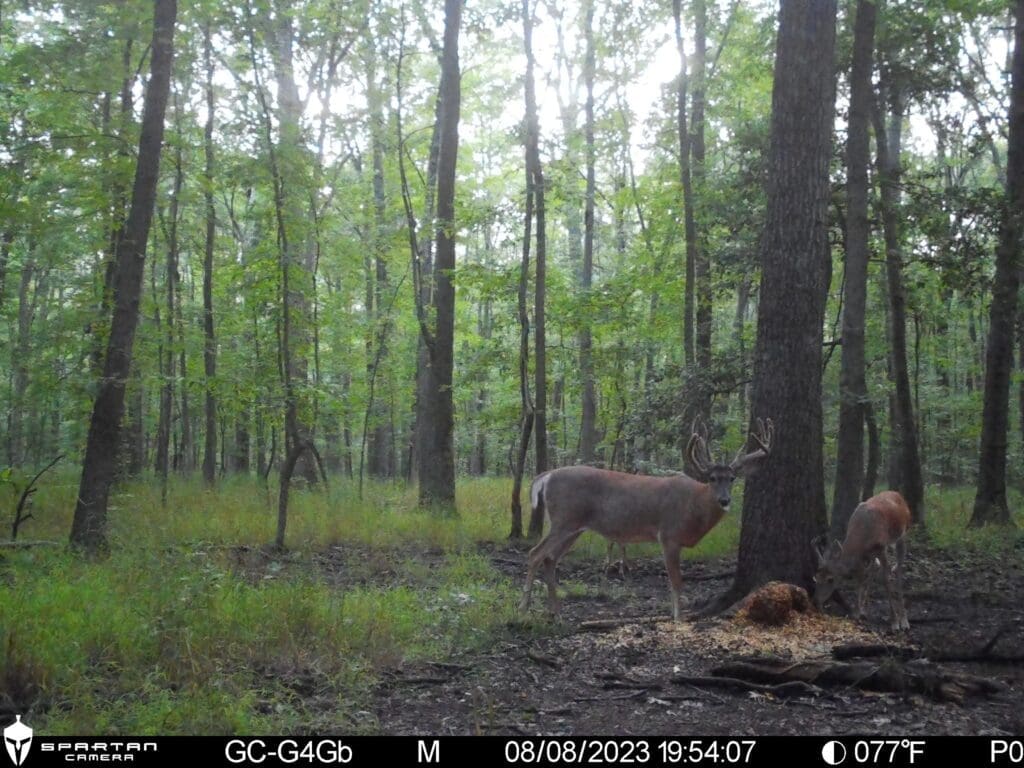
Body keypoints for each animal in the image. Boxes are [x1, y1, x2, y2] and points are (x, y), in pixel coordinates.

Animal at [516, 417, 770, 622]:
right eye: (712, 478)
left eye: (732, 478)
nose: (725, 500)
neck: (694, 507)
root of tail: (546, 475)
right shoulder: (668, 535)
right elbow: (676, 581)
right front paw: (678, 619)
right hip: (564, 519)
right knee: (535, 553)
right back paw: (524, 608)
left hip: (573, 526)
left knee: (549, 558)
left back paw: (556, 612)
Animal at [815, 489, 913, 634]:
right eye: (816, 578)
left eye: (830, 579)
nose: (816, 600)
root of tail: (897, 493)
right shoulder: (863, 555)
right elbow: (860, 578)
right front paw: (858, 612)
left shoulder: (881, 548)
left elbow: (885, 579)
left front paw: (894, 622)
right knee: (875, 567)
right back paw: (865, 609)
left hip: (903, 534)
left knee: (899, 569)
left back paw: (904, 621)